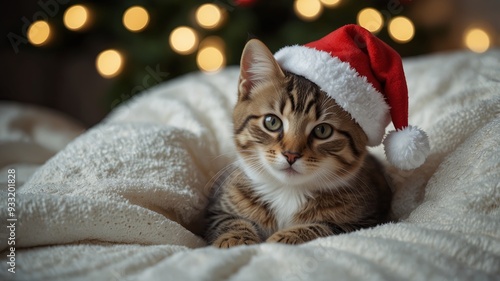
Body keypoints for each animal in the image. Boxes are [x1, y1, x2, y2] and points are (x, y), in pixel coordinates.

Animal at [205, 38, 392, 246]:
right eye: (272, 122)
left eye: (322, 130)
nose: (291, 154)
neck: (287, 190)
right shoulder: (216, 208)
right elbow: (229, 221)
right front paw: (236, 239)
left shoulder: (366, 221)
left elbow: (326, 227)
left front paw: (286, 237)